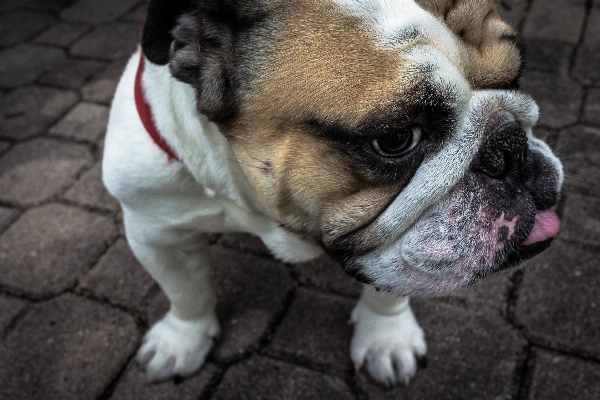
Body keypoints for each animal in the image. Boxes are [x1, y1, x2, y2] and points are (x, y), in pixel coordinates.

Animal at [102, 0, 564, 388]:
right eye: (396, 139)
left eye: (516, 77)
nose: (511, 147)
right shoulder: (154, 231)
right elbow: (187, 293)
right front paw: (181, 342)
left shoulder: (398, 248)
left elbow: (389, 286)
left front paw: (386, 339)